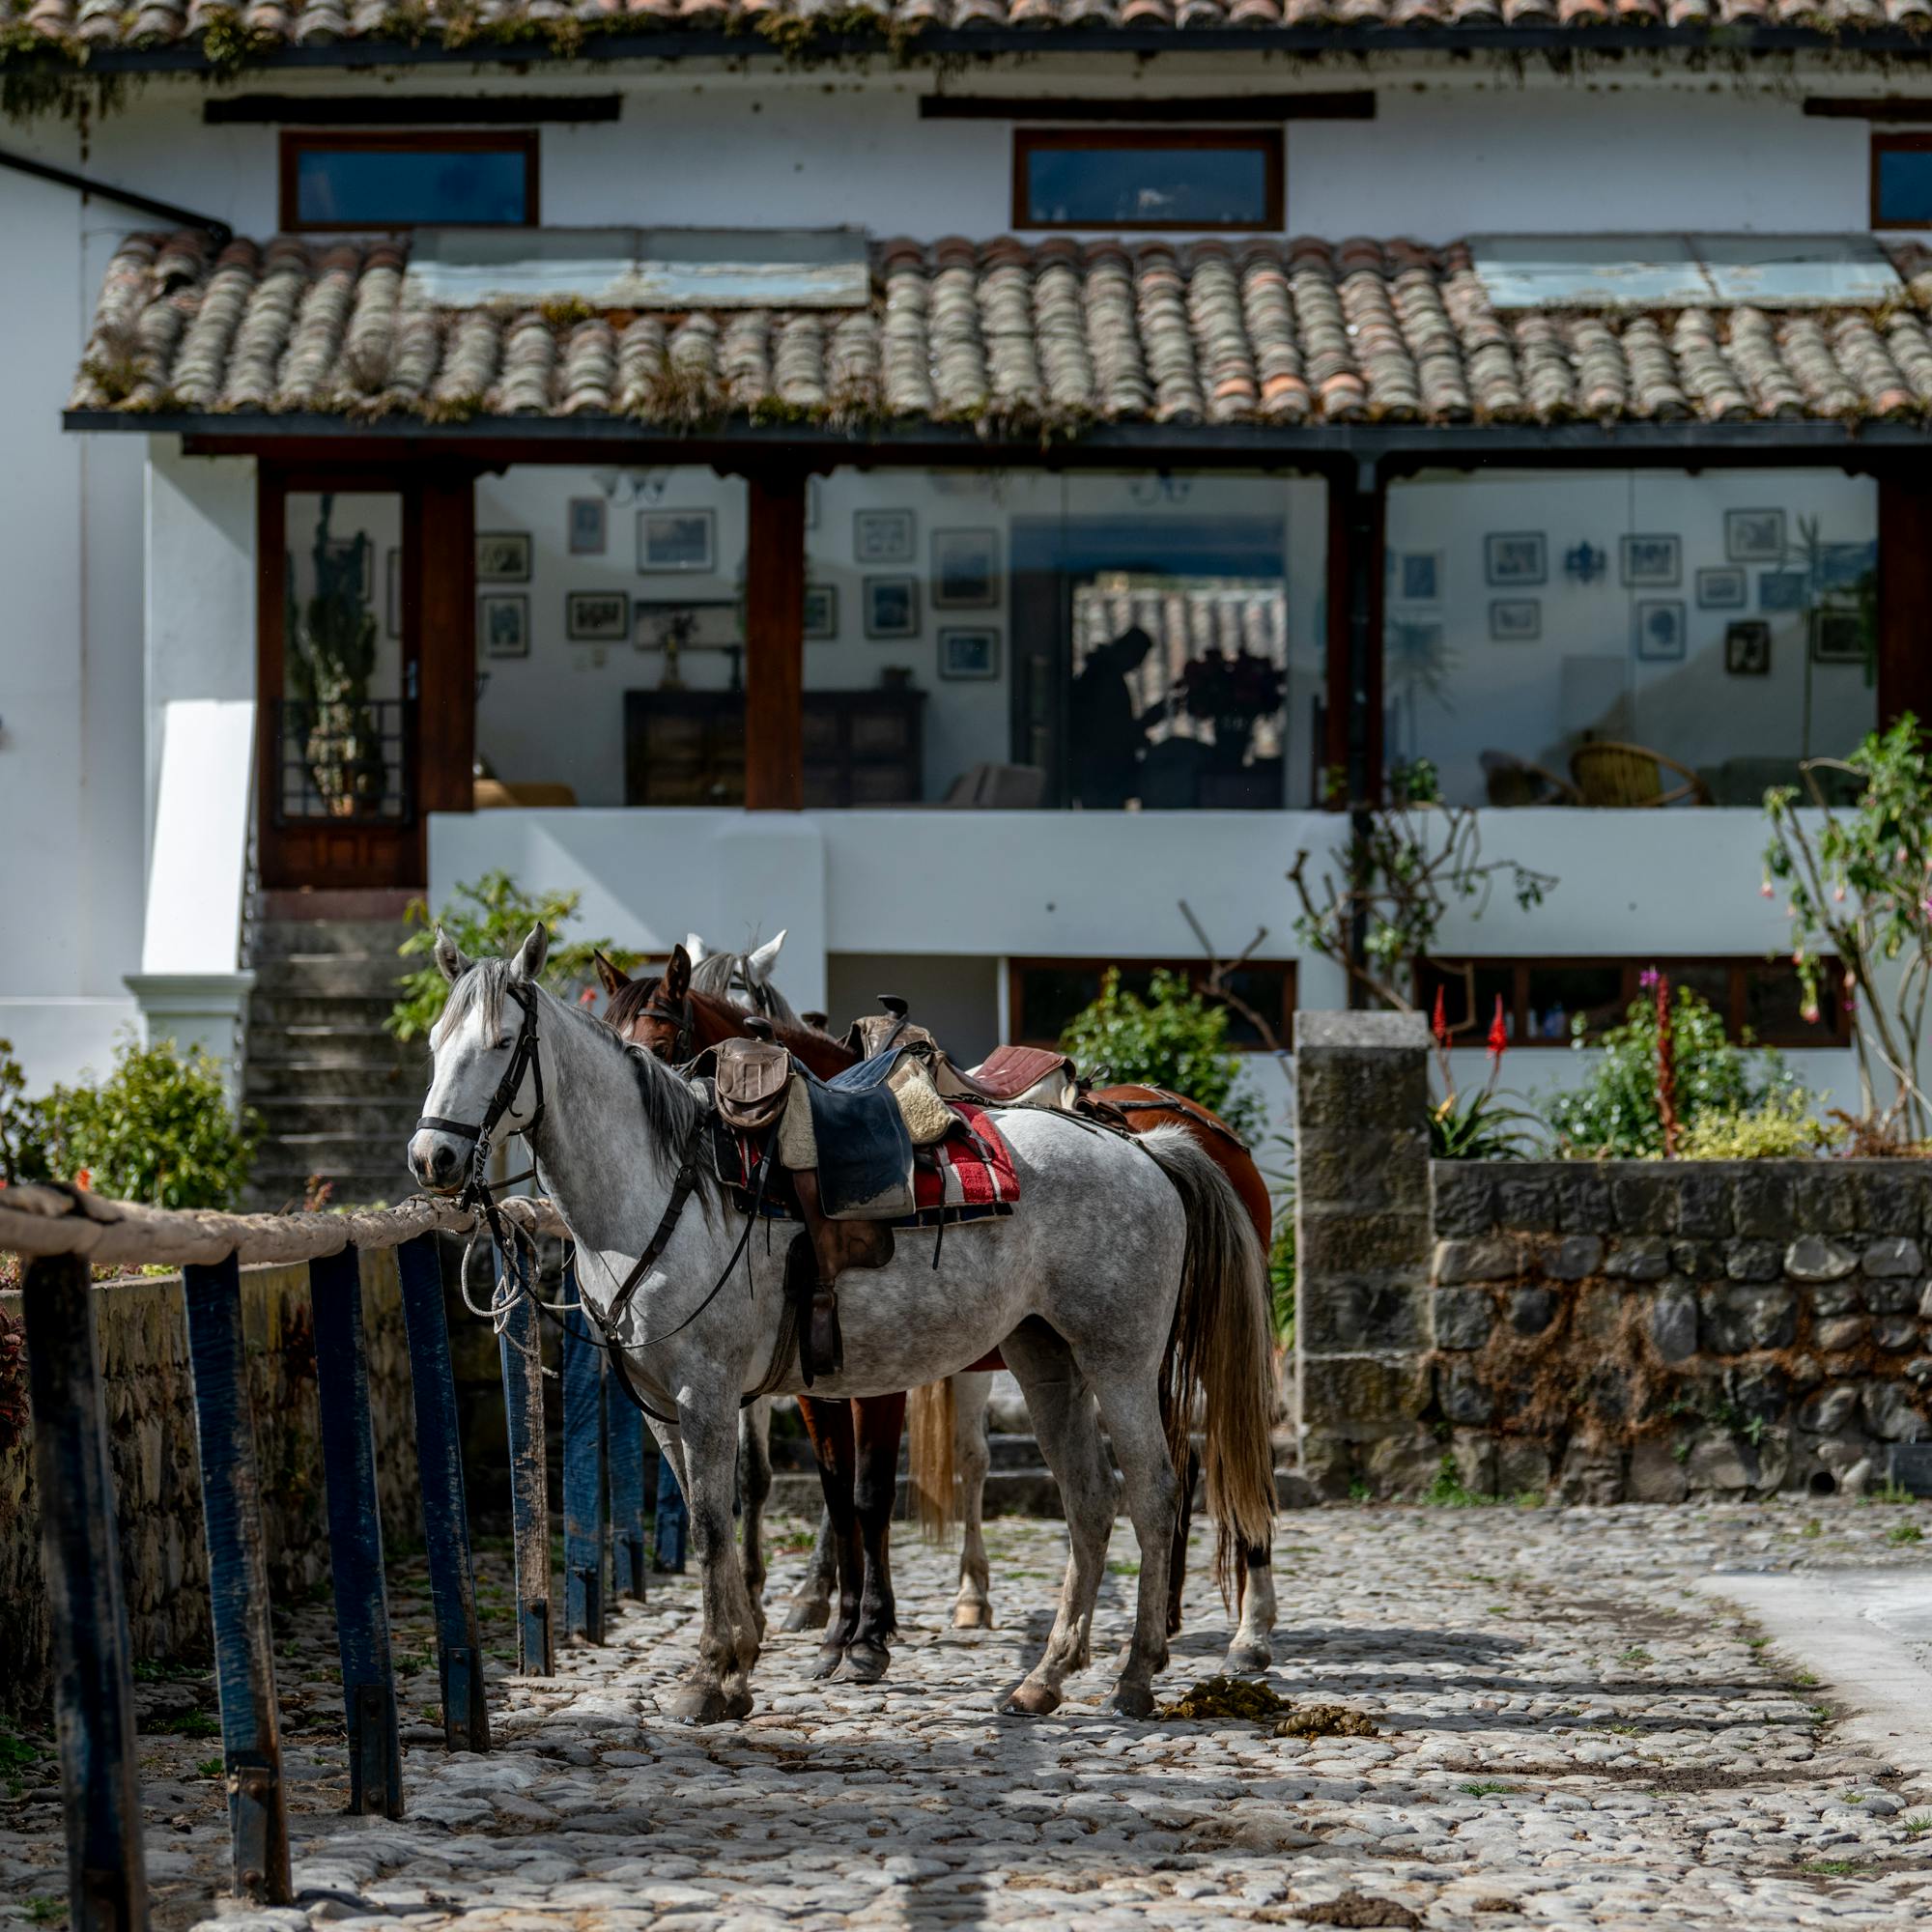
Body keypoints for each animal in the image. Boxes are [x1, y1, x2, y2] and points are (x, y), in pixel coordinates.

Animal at [410, 929, 1277, 1723]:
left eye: (499, 1043)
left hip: (1123, 1360)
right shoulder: (667, 1404)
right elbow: (728, 1510)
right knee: (1091, 1499)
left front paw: (723, 1674)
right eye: (435, 1044)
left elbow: (738, 1518)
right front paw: (751, 1657)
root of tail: (1149, 1150)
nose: (432, 1161)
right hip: (1046, 1356)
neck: (674, 1189)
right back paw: (1046, 1676)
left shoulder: (714, 1394)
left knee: (1161, 1489)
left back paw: (1149, 1667)